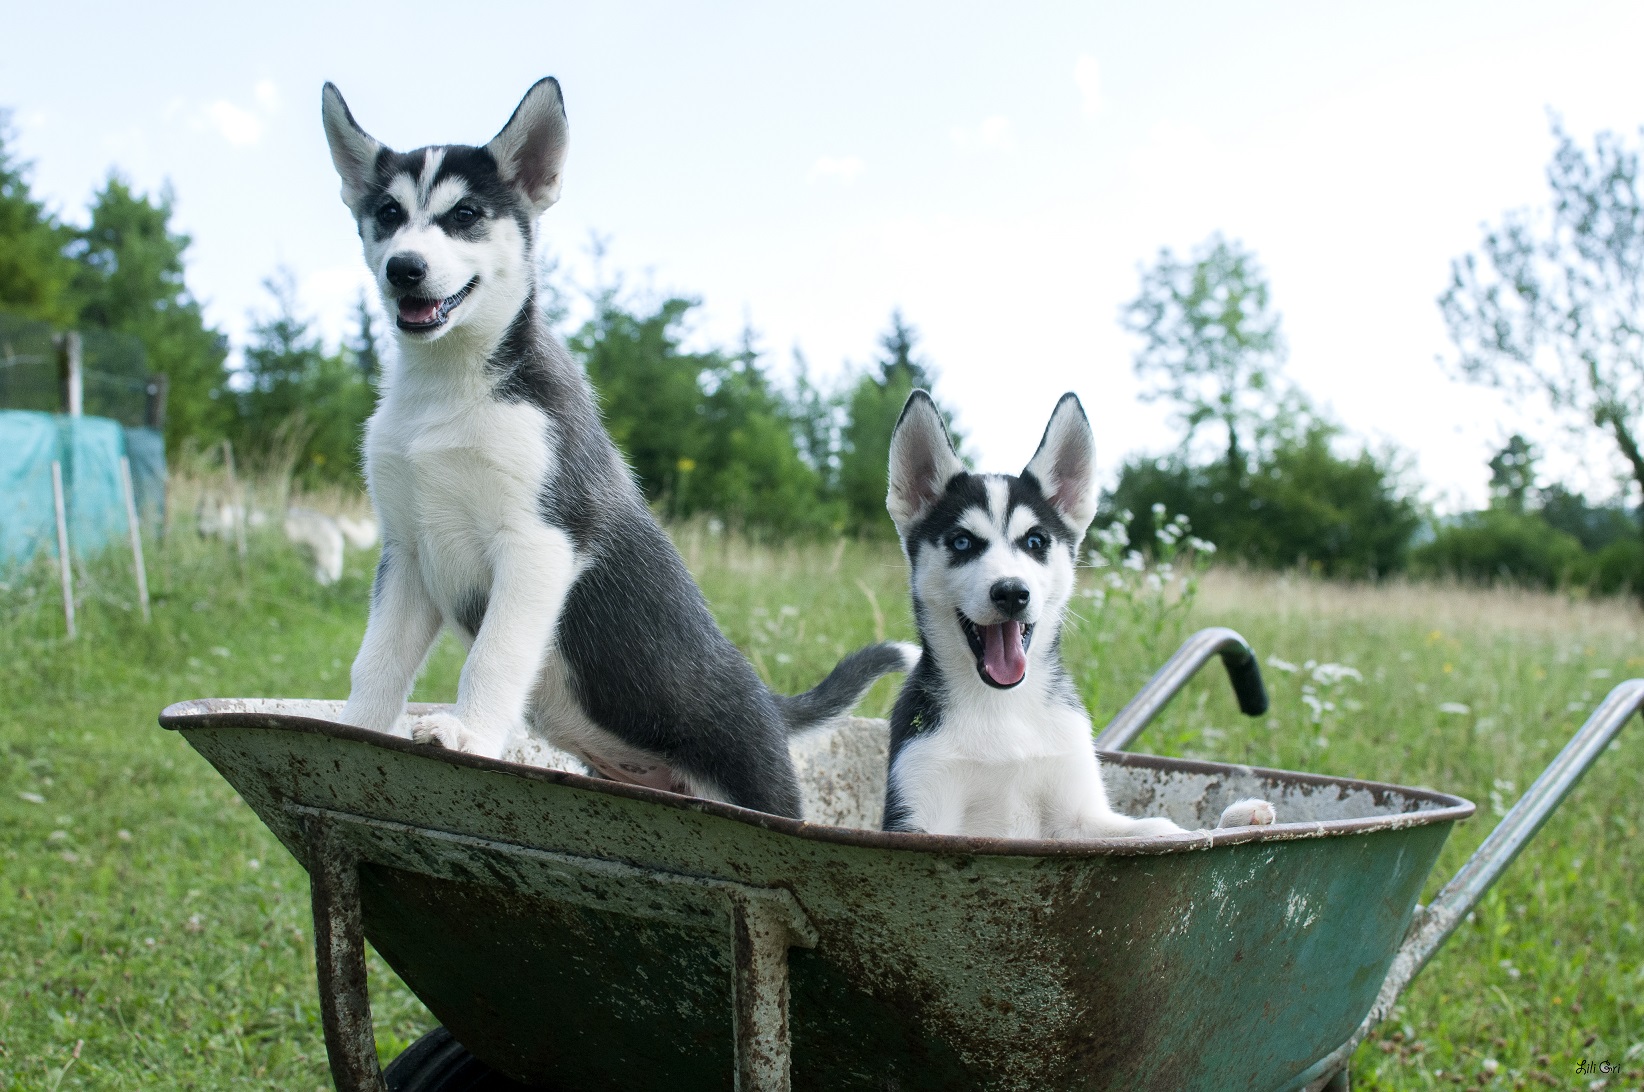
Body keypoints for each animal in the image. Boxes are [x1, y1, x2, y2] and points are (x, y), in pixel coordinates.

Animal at [320, 78, 914, 819]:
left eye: (465, 214)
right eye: (389, 214)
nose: (404, 268)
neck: (451, 387)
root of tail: (771, 707)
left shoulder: (541, 542)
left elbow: (493, 657)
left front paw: (468, 736)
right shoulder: (407, 552)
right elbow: (374, 664)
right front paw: (356, 734)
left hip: (758, 786)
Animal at [881, 393, 1275, 835]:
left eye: (1035, 541)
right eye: (962, 542)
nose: (1012, 593)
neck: (1002, 707)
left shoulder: (1081, 818)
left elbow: (1161, 828)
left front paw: (1228, 823)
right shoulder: (919, 816)